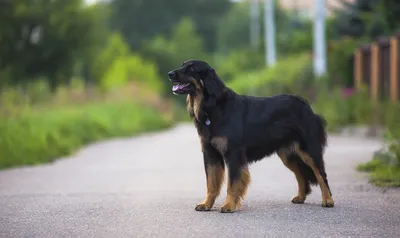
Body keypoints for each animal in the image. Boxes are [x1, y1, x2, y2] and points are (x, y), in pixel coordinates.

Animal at [166, 59, 334, 212]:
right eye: (182, 65)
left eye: (192, 68)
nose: (170, 74)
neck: (212, 107)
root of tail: (307, 106)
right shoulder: (210, 154)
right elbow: (211, 183)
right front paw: (206, 204)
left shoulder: (234, 154)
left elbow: (232, 182)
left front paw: (229, 205)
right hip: (287, 154)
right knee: (301, 175)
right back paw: (300, 197)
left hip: (309, 150)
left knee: (321, 174)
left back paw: (328, 200)